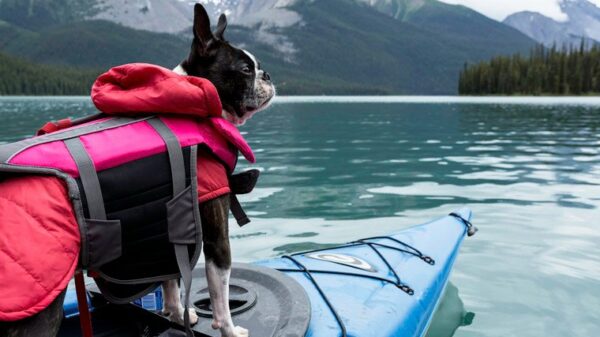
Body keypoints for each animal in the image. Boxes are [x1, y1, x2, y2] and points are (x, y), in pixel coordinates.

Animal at [164, 2, 276, 336]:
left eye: (258, 66)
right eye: (245, 69)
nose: (267, 74)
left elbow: (171, 284)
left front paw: (178, 314)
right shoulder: (217, 236)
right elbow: (221, 298)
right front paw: (229, 331)